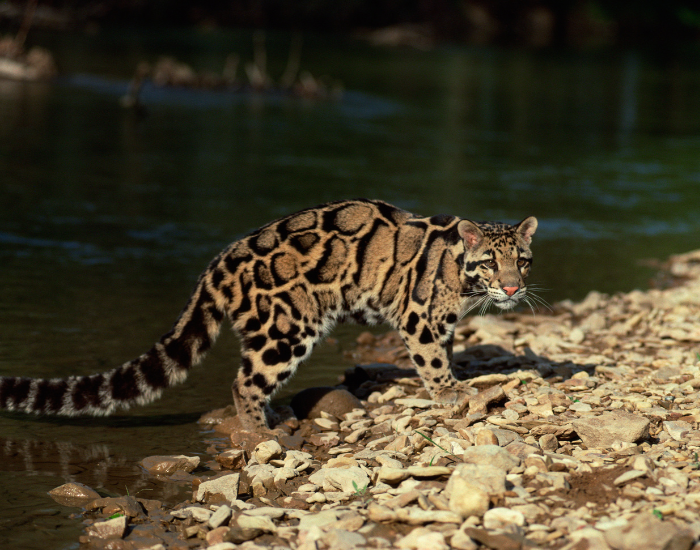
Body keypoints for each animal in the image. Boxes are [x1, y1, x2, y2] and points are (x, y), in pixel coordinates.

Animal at [0, 199, 537, 432]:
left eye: (523, 260)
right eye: (490, 262)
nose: (513, 287)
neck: (464, 280)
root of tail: (217, 264)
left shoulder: (440, 324)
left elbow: (445, 352)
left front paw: (456, 380)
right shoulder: (418, 317)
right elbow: (432, 360)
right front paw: (449, 392)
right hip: (286, 329)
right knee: (243, 382)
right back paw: (262, 432)